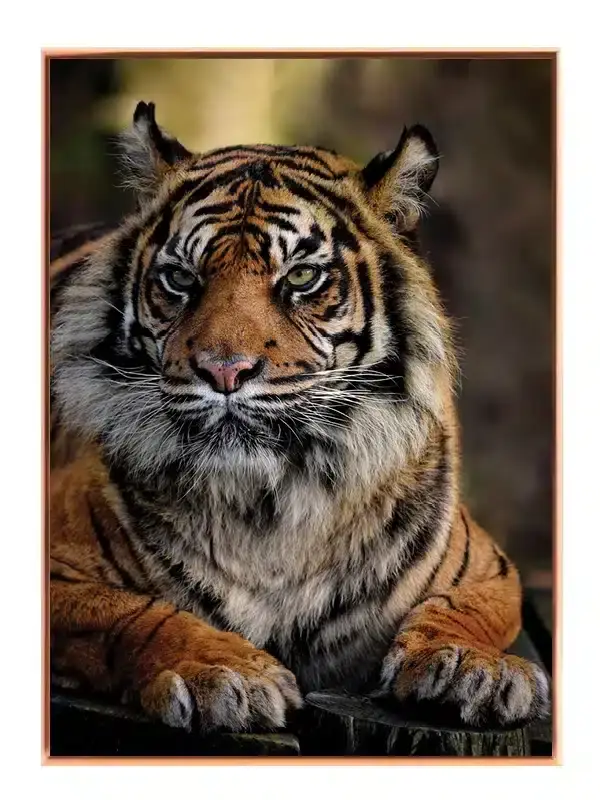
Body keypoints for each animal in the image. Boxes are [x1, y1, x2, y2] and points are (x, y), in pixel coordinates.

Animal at [49, 101, 550, 737]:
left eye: (302, 277)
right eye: (181, 279)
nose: (224, 370)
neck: (270, 509)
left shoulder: (488, 568)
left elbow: (464, 609)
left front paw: (472, 666)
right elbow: (133, 611)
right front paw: (224, 673)